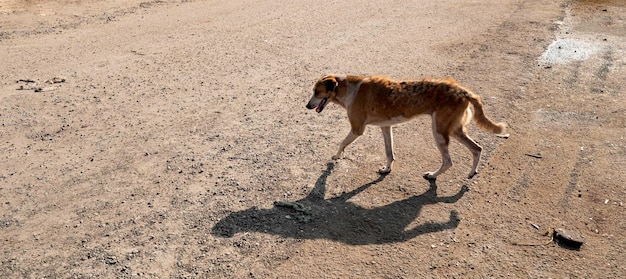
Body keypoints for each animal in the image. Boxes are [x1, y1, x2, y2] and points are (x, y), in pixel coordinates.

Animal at [306, 75, 508, 179]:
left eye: (317, 92)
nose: (307, 106)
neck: (349, 89)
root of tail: (462, 91)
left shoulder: (357, 129)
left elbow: (342, 143)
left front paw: (336, 157)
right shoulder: (386, 128)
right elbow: (389, 153)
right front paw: (386, 169)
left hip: (440, 132)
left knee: (448, 161)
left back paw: (433, 175)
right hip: (454, 130)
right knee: (477, 149)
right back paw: (472, 172)